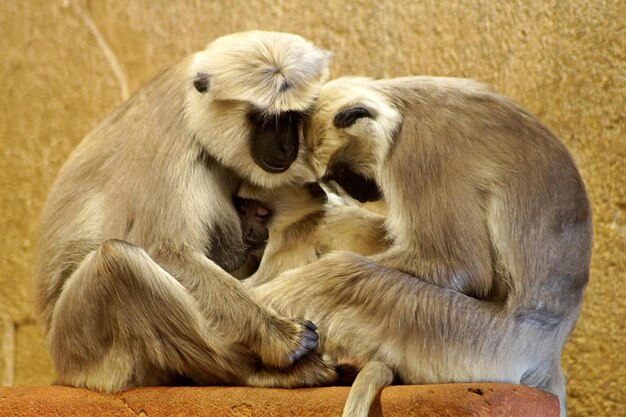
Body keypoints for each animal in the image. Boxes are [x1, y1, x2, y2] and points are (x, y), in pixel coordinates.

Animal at [33, 30, 336, 392]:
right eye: (265, 120)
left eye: (293, 118)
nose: (285, 147)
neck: (193, 109)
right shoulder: (170, 141)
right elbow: (168, 252)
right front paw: (281, 338)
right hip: (81, 346)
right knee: (118, 261)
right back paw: (254, 372)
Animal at [249, 76, 588, 414]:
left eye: (344, 173)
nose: (358, 192)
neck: (403, 109)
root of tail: (548, 353)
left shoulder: (419, 150)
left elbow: (458, 266)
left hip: (463, 337)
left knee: (342, 273)